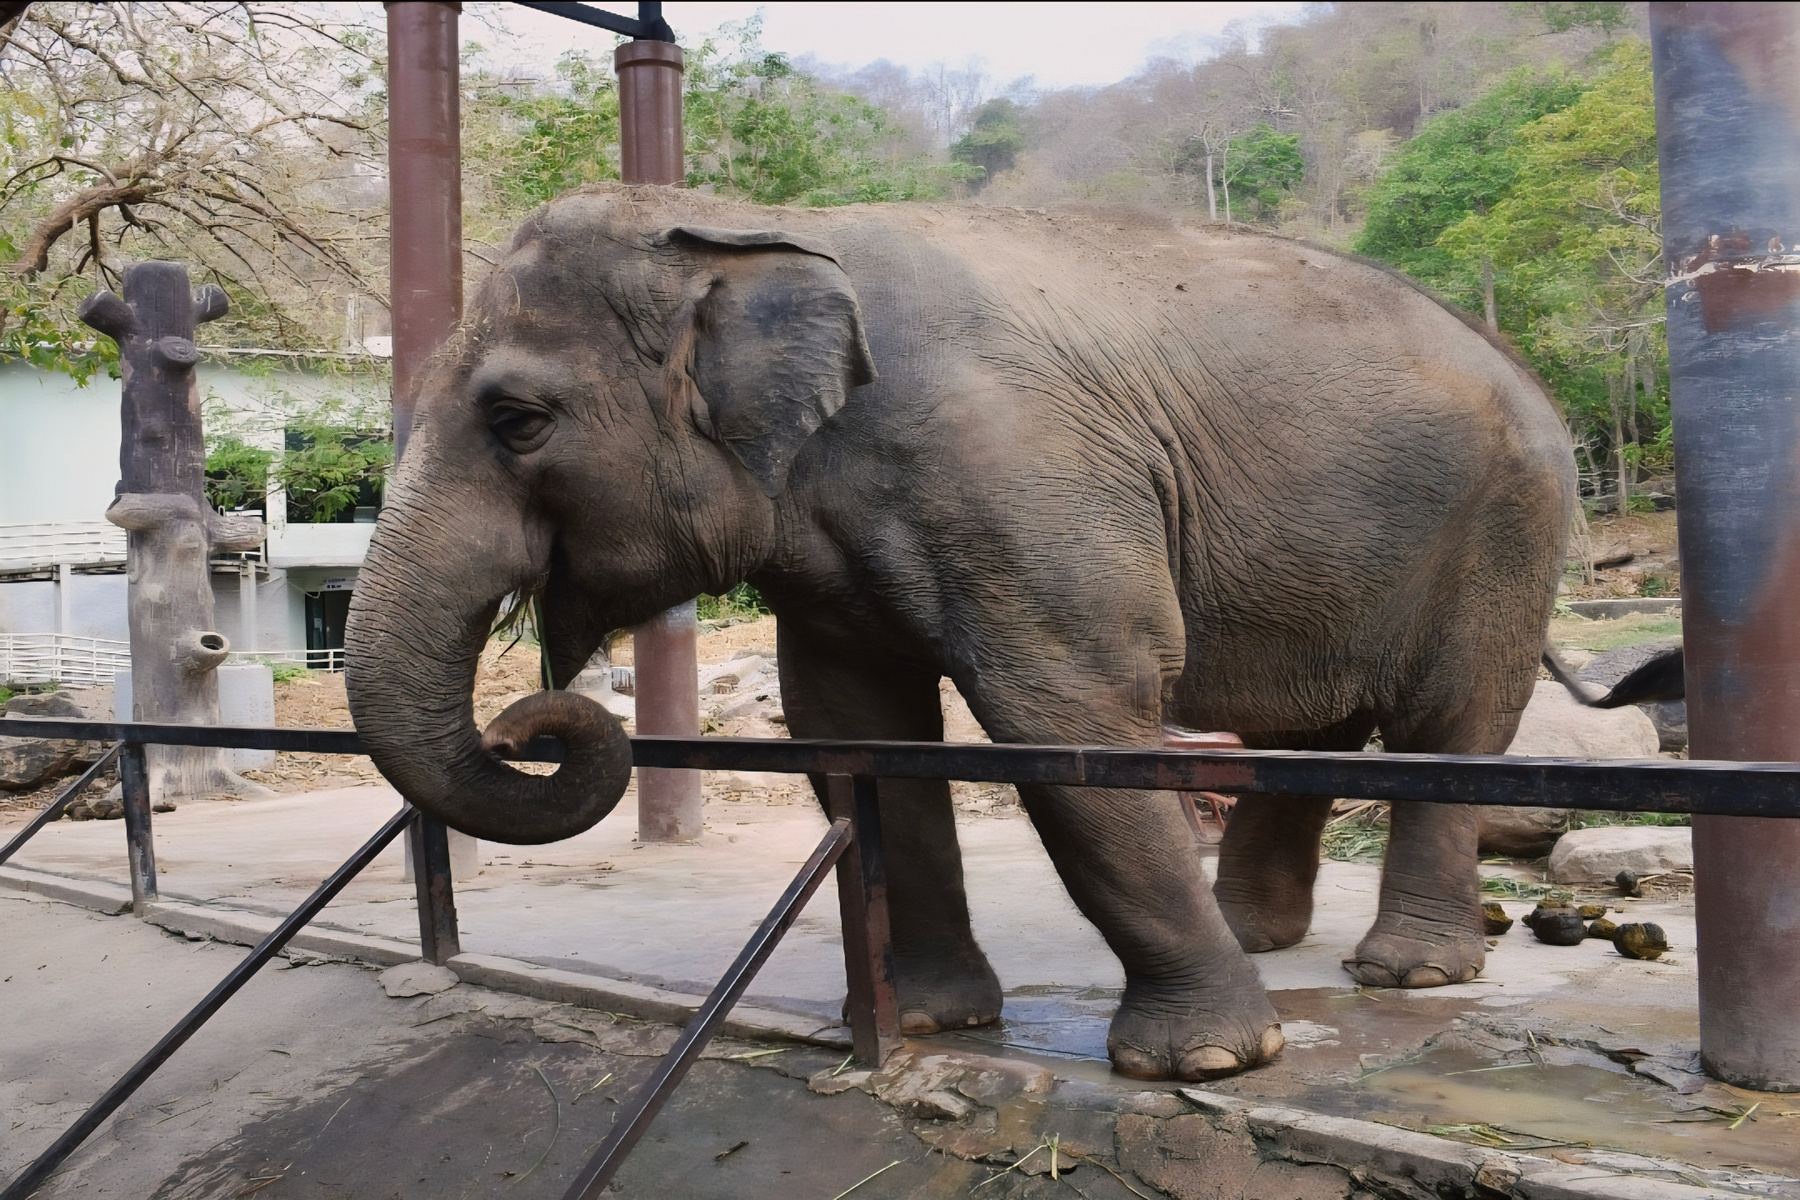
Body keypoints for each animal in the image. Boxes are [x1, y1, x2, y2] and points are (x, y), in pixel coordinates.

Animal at [345, 185, 1575, 1083]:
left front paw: (1210, 1063)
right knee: (1307, 730)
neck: (747, 223)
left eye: (519, 421)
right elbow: (853, 728)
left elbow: (1071, 716)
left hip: (1507, 526)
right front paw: (928, 1026)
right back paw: (1262, 937)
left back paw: (1409, 976)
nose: (532, 725)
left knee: (1451, 722)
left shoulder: (1018, 476)